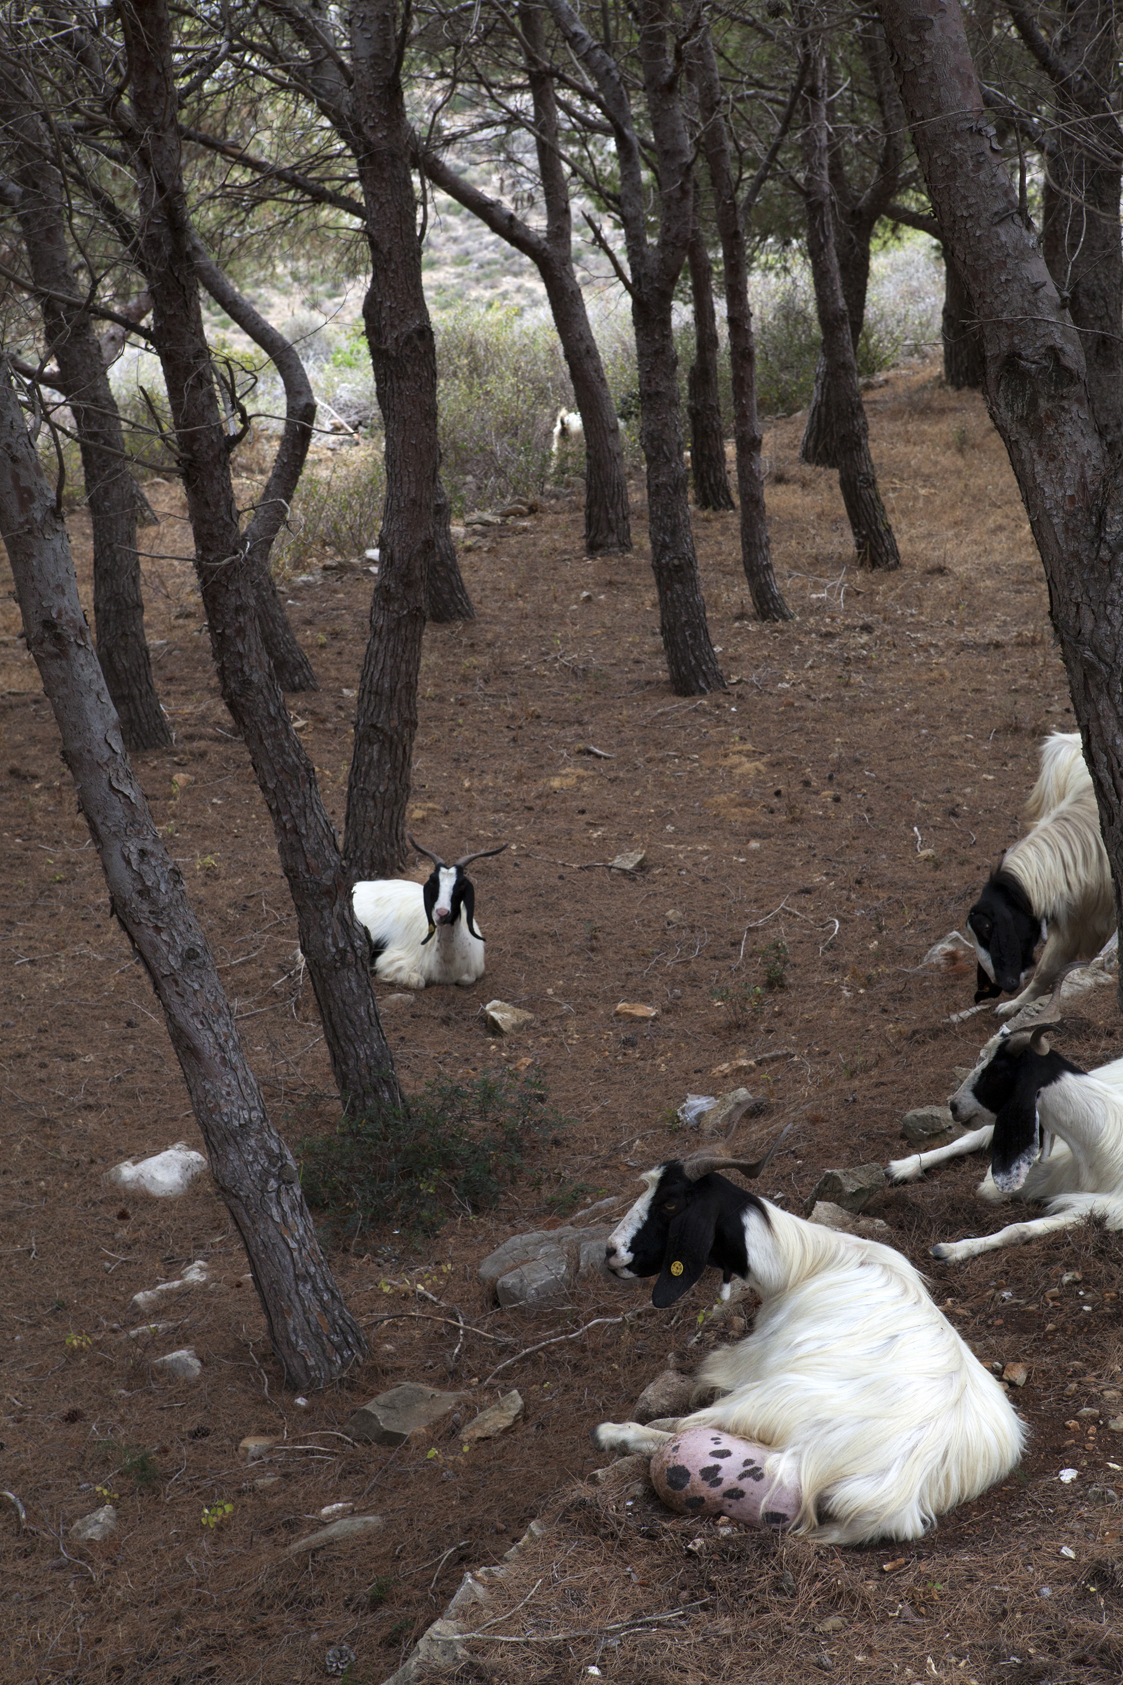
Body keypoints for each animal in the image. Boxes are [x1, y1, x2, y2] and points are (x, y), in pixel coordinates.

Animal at [352, 832, 505, 984]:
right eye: (432, 881)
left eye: (462, 884)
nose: (442, 913)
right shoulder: (392, 962)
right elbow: (419, 982)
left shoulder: (472, 972)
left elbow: (465, 980)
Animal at [593, 1139, 1025, 1543]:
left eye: (669, 1203)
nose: (610, 1252)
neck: (801, 1265)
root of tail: (897, 1496)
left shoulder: (751, 1364)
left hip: (766, 1402)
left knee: (684, 1430)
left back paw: (616, 1432)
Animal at [890, 1010, 1119, 1267]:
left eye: (995, 1072)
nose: (954, 1105)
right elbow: (986, 1189)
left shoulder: (1107, 1207)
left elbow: (1018, 1229)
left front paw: (951, 1249)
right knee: (970, 1139)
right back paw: (902, 1167)